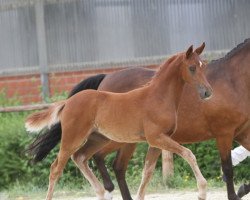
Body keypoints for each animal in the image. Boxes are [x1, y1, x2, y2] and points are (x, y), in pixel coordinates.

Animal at [25, 44, 213, 199]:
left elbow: (147, 172)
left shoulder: (157, 141)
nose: (207, 92)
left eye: (204, 66)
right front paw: (202, 191)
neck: (158, 97)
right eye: (192, 68)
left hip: (98, 138)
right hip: (72, 138)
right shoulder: (156, 138)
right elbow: (189, 154)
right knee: (56, 168)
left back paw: (101, 192)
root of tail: (68, 102)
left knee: (80, 157)